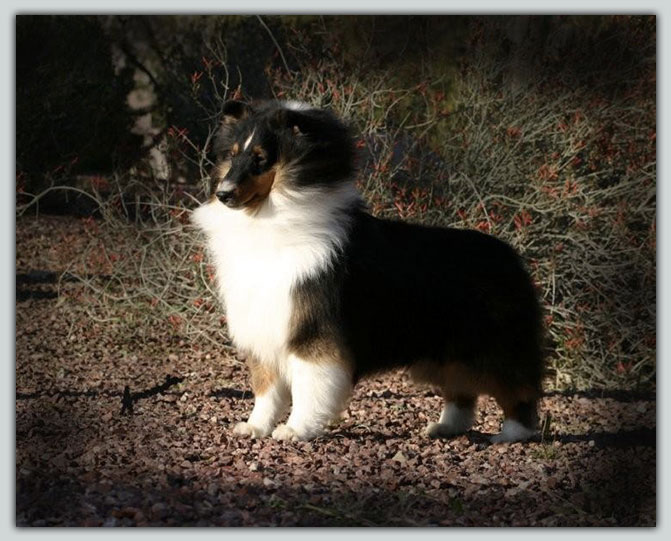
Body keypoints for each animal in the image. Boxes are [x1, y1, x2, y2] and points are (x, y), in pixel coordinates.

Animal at [190, 99, 544, 440]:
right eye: (232, 155)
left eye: (261, 159)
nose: (223, 194)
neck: (272, 218)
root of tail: (510, 255)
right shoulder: (264, 329)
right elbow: (266, 390)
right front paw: (254, 428)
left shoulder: (313, 332)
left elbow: (308, 387)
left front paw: (295, 430)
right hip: (446, 352)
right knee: (462, 392)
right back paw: (445, 428)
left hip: (493, 347)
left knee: (517, 388)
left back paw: (512, 434)